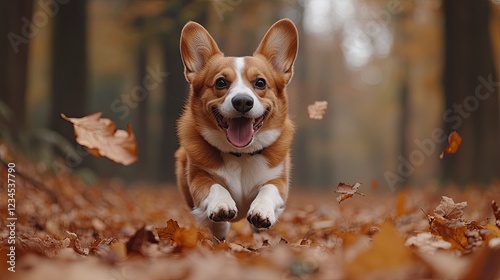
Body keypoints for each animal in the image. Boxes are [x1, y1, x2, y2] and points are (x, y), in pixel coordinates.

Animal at [176, 19, 298, 241]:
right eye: (221, 82)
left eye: (260, 82)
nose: (242, 101)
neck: (241, 154)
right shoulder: (198, 178)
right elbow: (215, 187)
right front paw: (221, 206)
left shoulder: (279, 180)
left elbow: (269, 189)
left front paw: (261, 211)